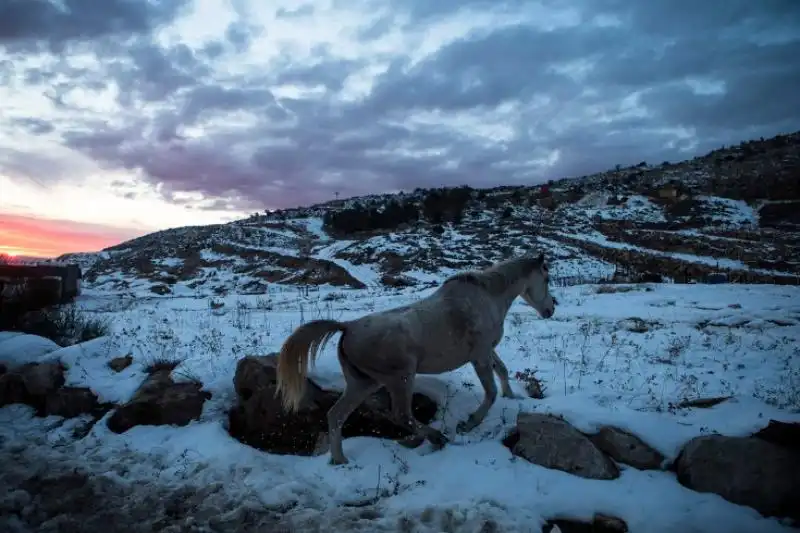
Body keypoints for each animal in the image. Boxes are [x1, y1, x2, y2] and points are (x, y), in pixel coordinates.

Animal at [276, 251, 556, 464]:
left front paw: (513, 396)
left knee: (336, 416)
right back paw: (437, 438)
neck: (487, 297)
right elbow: (490, 392)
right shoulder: (479, 355)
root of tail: (347, 327)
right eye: (547, 277)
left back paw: (340, 461)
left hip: (363, 383)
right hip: (400, 378)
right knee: (401, 415)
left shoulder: (487, 351)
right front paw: (469, 424)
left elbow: (503, 371)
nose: (551, 309)